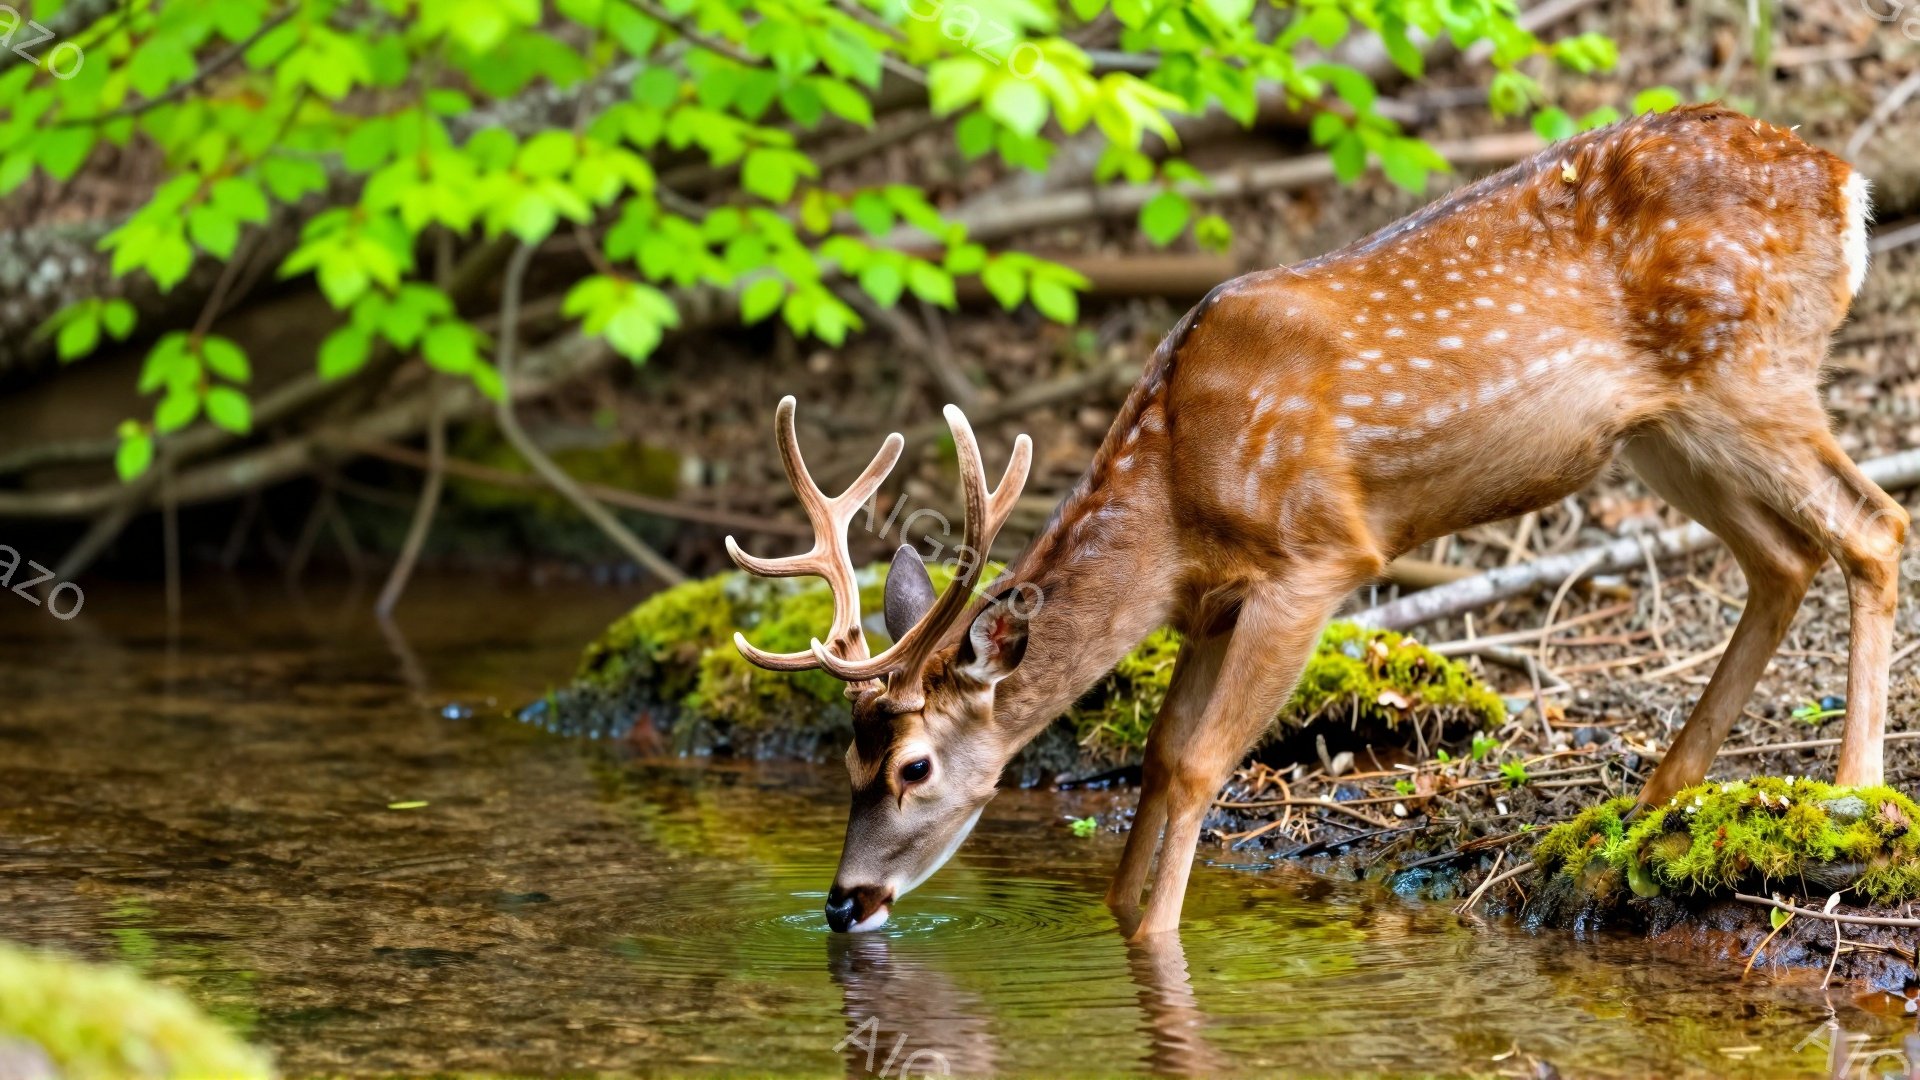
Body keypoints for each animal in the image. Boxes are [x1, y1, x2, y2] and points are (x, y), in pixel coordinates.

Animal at [726, 105, 1909, 941]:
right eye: (844, 765)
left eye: (914, 768)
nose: (843, 902)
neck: (1176, 495)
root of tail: (1845, 184)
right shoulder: (1210, 601)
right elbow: (1159, 755)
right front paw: (1116, 919)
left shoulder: (1317, 556)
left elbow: (1203, 763)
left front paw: (1155, 945)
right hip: (1666, 430)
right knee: (1782, 557)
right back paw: (1654, 799)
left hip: (1748, 372)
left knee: (1872, 524)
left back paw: (1854, 794)